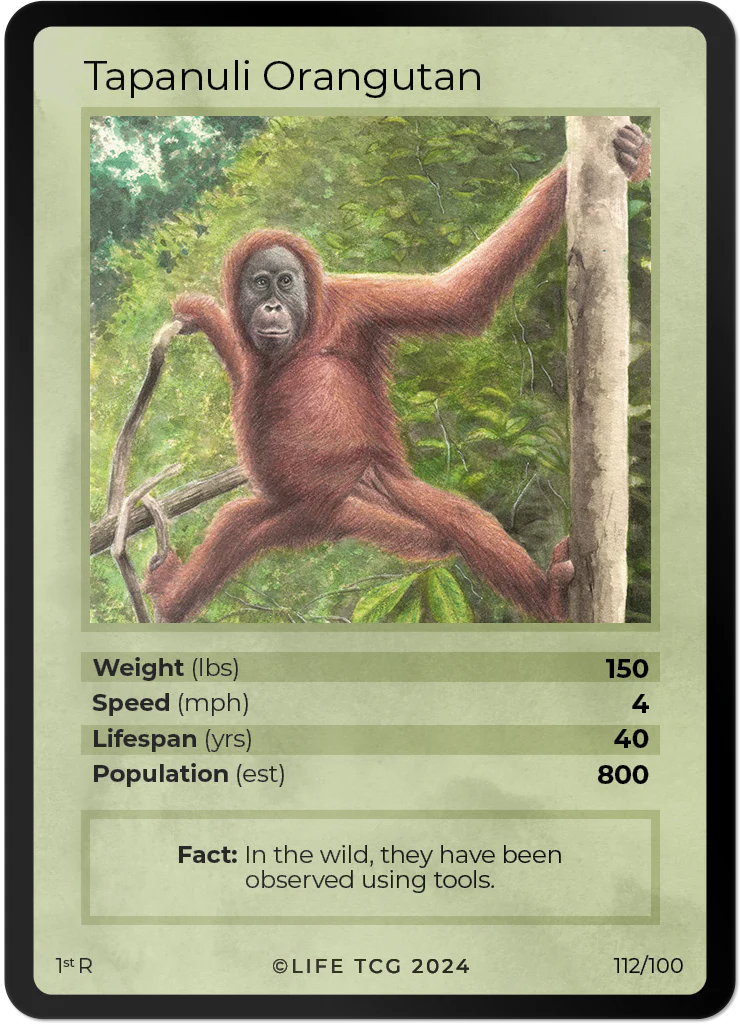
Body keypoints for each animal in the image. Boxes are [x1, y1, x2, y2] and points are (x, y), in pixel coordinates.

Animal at [142, 122, 650, 623]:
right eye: (259, 283)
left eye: (284, 282)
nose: (270, 306)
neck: (302, 337)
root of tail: (330, 517)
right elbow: (242, 370)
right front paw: (203, 313)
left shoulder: (357, 303)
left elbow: (457, 298)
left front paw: (624, 159)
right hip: (297, 513)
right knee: (236, 526)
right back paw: (171, 597)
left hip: (368, 489)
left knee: (458, 520)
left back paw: (551, 599)